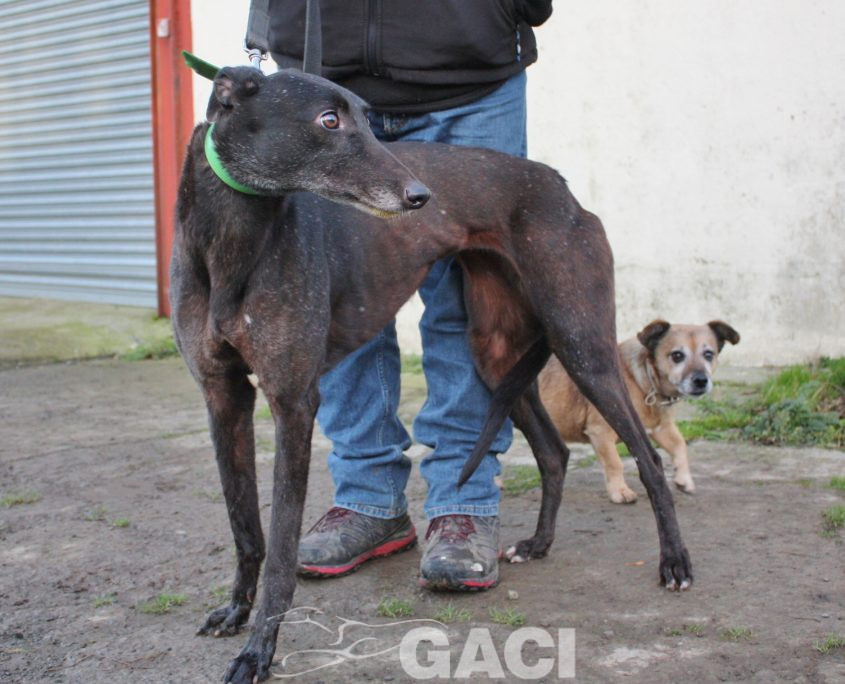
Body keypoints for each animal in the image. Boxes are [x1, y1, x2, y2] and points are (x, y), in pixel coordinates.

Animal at [172, 65, 692, 683]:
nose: (422, 196)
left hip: (580, 340)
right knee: (553, 451)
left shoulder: (293, 401)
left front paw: (258, 652)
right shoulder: (221, 395)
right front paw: (235, 611)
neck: (234, 242)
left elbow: (279, 548)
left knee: (650, 459)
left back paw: (675, 563)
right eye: (329, 119)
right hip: (496, 354)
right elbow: (245, 527)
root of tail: (561, 186)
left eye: (366, 116)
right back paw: (537, 544)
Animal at [538, 320, 740, 504]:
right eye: (677, 355)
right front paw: (619, 491)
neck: (644, 379)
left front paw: (683, 479)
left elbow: (680, 445)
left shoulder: (661, 428)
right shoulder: (601, 432)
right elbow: (615, 463)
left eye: (708, 354)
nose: (701, 380)